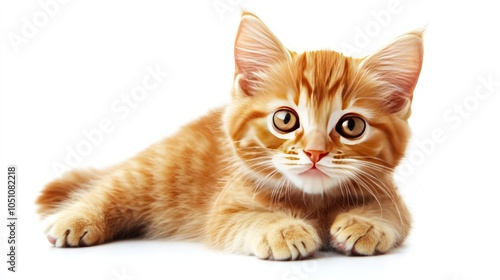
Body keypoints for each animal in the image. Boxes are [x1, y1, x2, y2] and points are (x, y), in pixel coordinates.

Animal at [37, 11, 424, 260]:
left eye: (351, 127)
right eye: (285, 119)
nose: (315, 153)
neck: (311, 201)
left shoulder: (394, 200)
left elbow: (392, 215)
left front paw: (365, 223)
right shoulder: (223, 211)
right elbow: (247, 218)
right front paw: (283, 229)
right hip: (155, 171)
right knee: (111, 188)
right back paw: (76, 218)